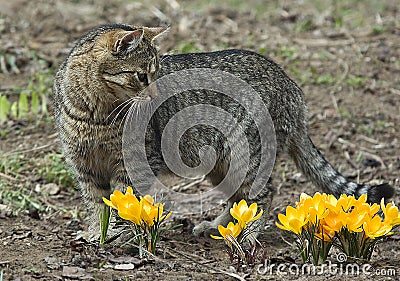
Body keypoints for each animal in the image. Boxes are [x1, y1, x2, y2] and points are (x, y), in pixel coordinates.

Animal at [54, 23, 394, 238]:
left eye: (157, 73)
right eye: (142, 76)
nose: (156, 93)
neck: (97, 114)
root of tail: (292, 87)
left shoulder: (134, 164)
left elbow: (124, 203)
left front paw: (119, 234)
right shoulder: (85, 168)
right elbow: (98, 206)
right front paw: (98, 233)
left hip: (246, 155)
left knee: (262, 195)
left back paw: (248, 235)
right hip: (221, 163)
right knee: (238, 201)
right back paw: (223, 227)